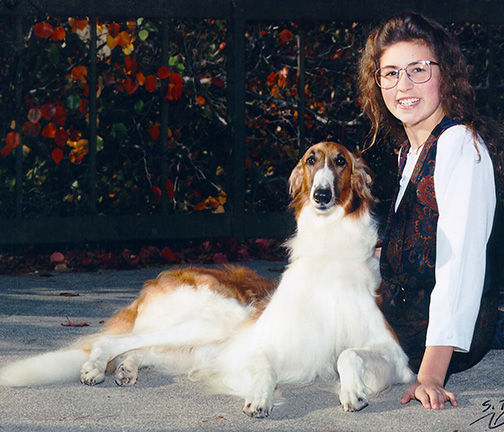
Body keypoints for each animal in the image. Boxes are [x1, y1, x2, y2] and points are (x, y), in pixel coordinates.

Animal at [0, 143, 414, 416]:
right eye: (311, 160)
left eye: (341, 161)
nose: (322, 195)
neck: (328, 247)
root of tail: (158, 279)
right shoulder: (254, 347)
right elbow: (264, 367)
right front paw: (260, 397)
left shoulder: (394, 354)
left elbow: (348, 353)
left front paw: (352, 391)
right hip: (215, 320)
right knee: (112, 340)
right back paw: (95, 367)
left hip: (201, 339)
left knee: (138, 349)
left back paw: (125, 369)